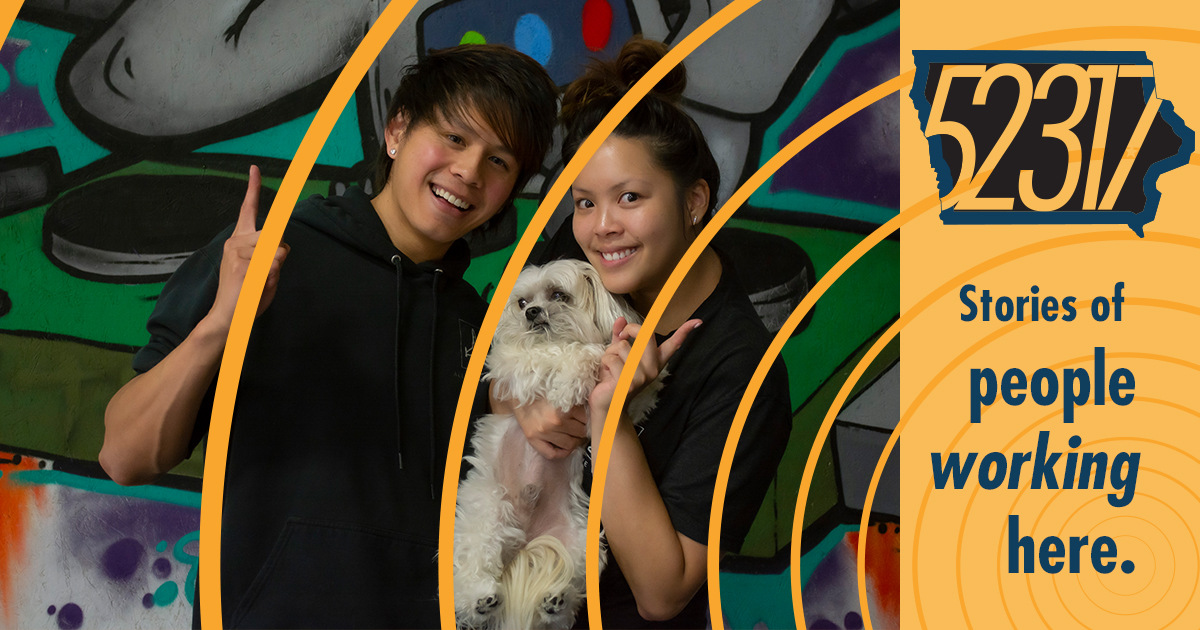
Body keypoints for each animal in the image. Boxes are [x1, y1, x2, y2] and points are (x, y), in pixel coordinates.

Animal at [456, 258, 667, 624]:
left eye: (558, 295)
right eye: (522, 302)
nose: (532, 312)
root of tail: (522, 544)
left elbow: (637, 396)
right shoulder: (515, 364)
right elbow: (570, 352)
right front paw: (571, 381)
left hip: (581, 540)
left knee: (571, 585)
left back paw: (554, 599)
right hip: (487, 514)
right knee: (475, 561)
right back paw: (479, 599)